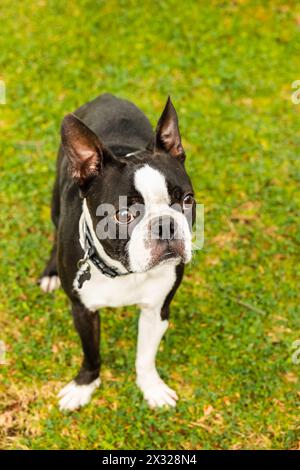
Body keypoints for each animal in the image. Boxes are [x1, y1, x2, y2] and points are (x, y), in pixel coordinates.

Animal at [39, 93, 195, 410]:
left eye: (187, 200)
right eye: (123, 215)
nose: (165, 224)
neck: (125, 272)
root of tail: (107, 96)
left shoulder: (157, 310)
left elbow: (145, 356)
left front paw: (151, 388)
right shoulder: (83, 311)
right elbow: (91, 354)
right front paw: (83, 385)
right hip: (55, 203)